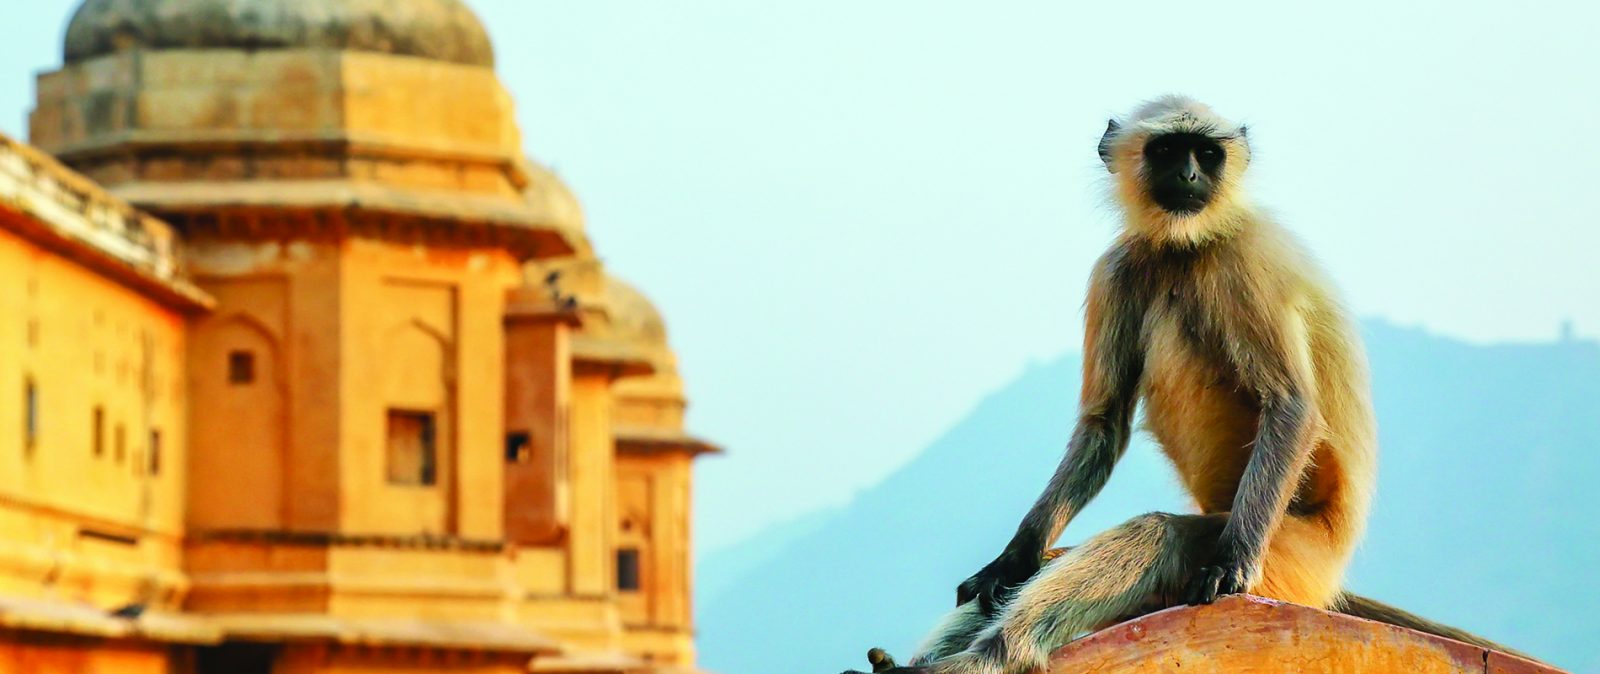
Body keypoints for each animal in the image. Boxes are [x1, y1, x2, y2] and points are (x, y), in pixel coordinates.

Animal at [842, 96, 1532, 674]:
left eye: (1208, 153)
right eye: (1169, 151)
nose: (1192, 176)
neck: (1188, 239)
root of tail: (1332, 569)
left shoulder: (1244, 259)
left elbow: (1291, 406)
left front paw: (1227, 564)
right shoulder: (1118, 265)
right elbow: (1103, 424)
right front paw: (1011, 559)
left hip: (1290, 556)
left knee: (1164, 528)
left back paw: (990, 656)